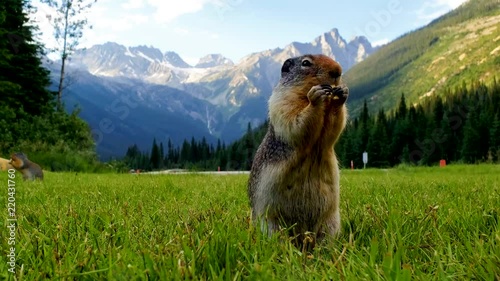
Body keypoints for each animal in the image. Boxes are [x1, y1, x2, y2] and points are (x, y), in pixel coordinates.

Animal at [247, 53, 348, 248]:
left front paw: (341, 94)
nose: (338, 70)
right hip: (270, 224)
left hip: (330, 222)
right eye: (305, 63)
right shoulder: (282, 101)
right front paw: (315, 98)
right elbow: (294, 120)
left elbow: (333, 127)